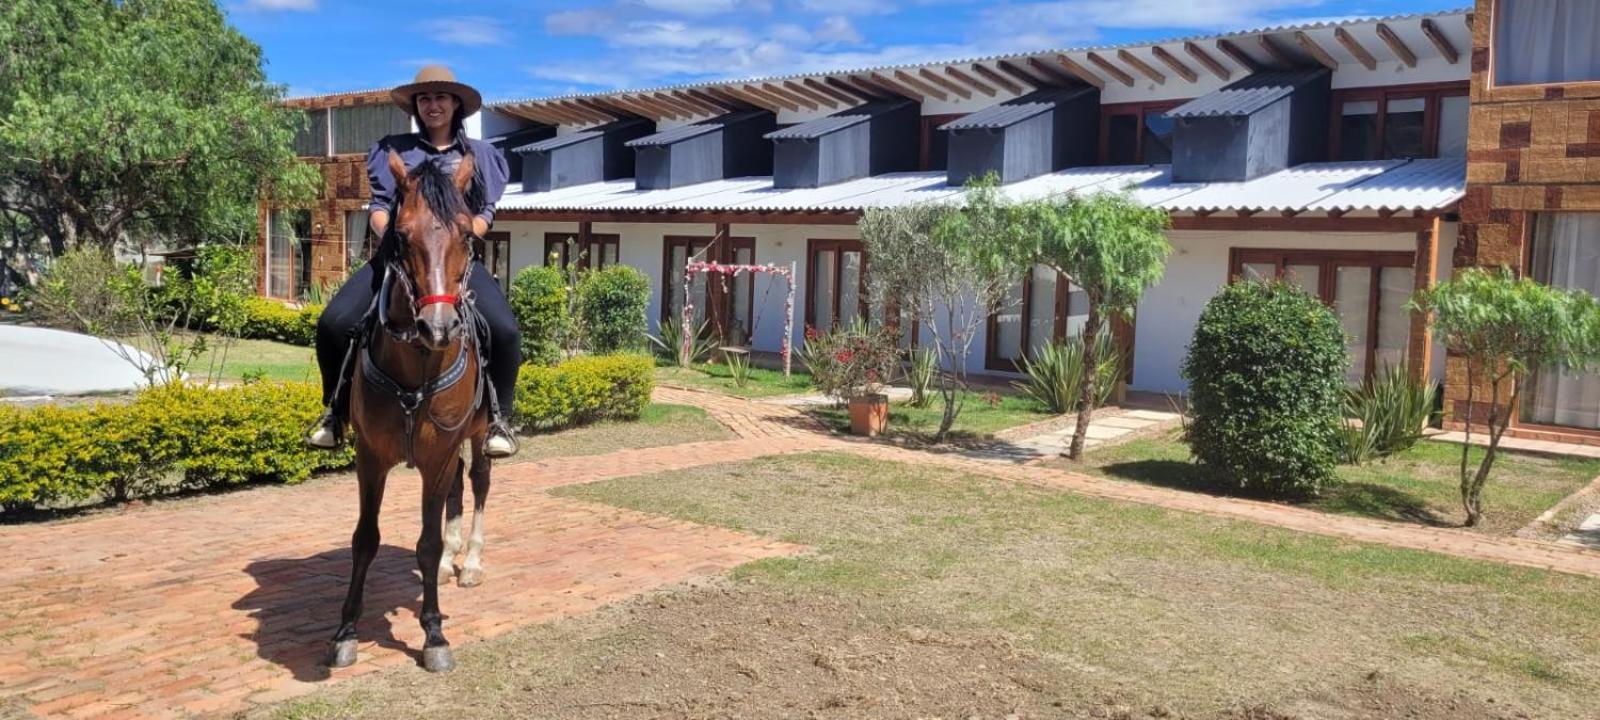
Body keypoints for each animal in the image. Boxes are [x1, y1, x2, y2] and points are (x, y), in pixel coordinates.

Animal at [326, 148, 492, 672]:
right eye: (401, 236)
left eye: (467, 235)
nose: (437, 327)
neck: (417, 365)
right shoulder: (370, 456)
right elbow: (365, 539)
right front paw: (345, 630)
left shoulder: (438, 454)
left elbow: (427, 541)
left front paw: (434, 634)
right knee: (459, 489)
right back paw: (452, 559)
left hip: (476, 434)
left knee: (478, 482)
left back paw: (470, 561)